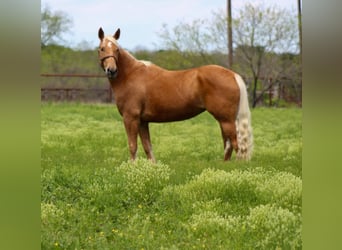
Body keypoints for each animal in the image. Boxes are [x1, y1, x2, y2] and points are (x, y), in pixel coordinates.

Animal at [97, 26, 252, 162]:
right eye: (102, 48)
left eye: (117, 49)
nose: (112, 70)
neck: (131, 75)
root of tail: (232, 75)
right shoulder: (142, 121)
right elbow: (148, 147)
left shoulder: (131, 118)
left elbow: (132, 146)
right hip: (224, 120)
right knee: (228, 144)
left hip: (226, 120)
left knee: (235, 144)